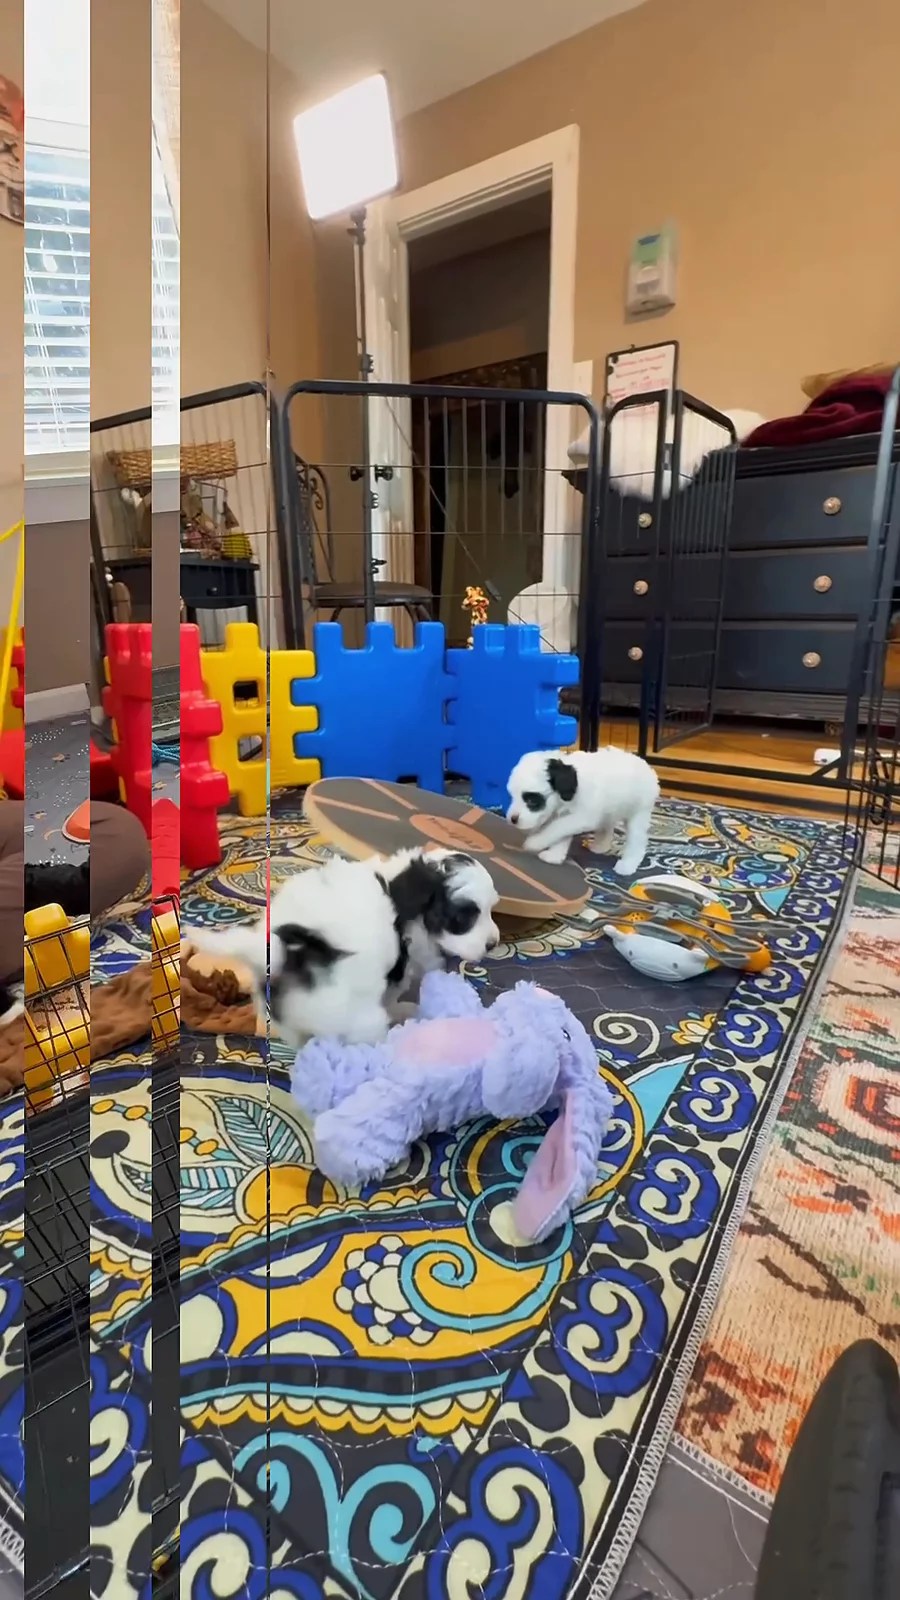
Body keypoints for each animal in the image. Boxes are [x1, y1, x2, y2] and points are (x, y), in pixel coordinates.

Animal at [186, 846, 500, 1048]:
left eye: (490, 910)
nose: (493, 943)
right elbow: (393, 994)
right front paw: (402, 1008)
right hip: (357, 1017)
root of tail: (287, 948)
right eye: (463, 917)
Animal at [506, 747, 659, 874]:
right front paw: (554, 856)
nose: (512, 819)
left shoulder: (582, 816)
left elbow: (557, 827)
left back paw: (627, 866)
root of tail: (646, 766)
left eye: (532, 800)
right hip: (610, 810)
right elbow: (560, 833)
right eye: (512, 796)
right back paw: (601, 846)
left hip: (640, 810)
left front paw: (536, 842)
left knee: (637, 837)